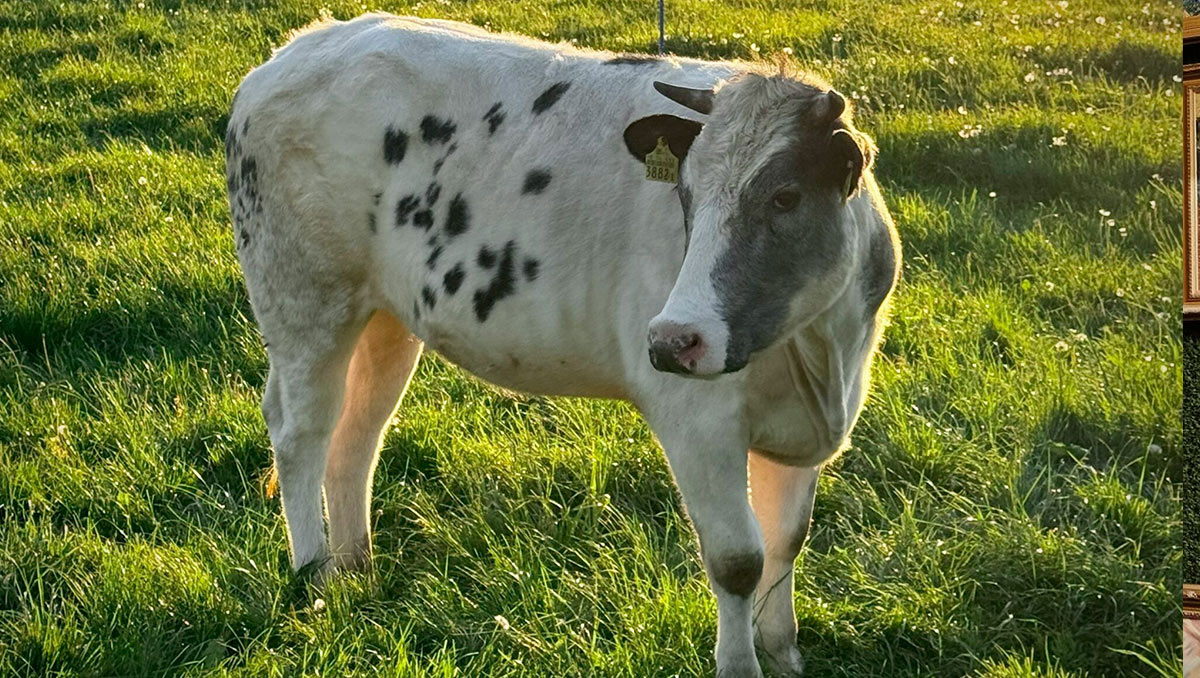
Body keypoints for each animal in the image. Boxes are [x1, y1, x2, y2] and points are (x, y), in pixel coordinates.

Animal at [226, 11, 902, 676]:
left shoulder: (803, 429)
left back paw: (354, 570)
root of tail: (303, 45)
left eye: (785, 196)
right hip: (304, 296)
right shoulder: (698, 421)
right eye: (685, 195)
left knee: (359, 432)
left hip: (385, 316)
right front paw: (741, 663)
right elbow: (738, 559)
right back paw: (315, 576)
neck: (819, 353)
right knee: (301, 432)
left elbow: (787, 540)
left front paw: (783, 651)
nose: (673, 341)